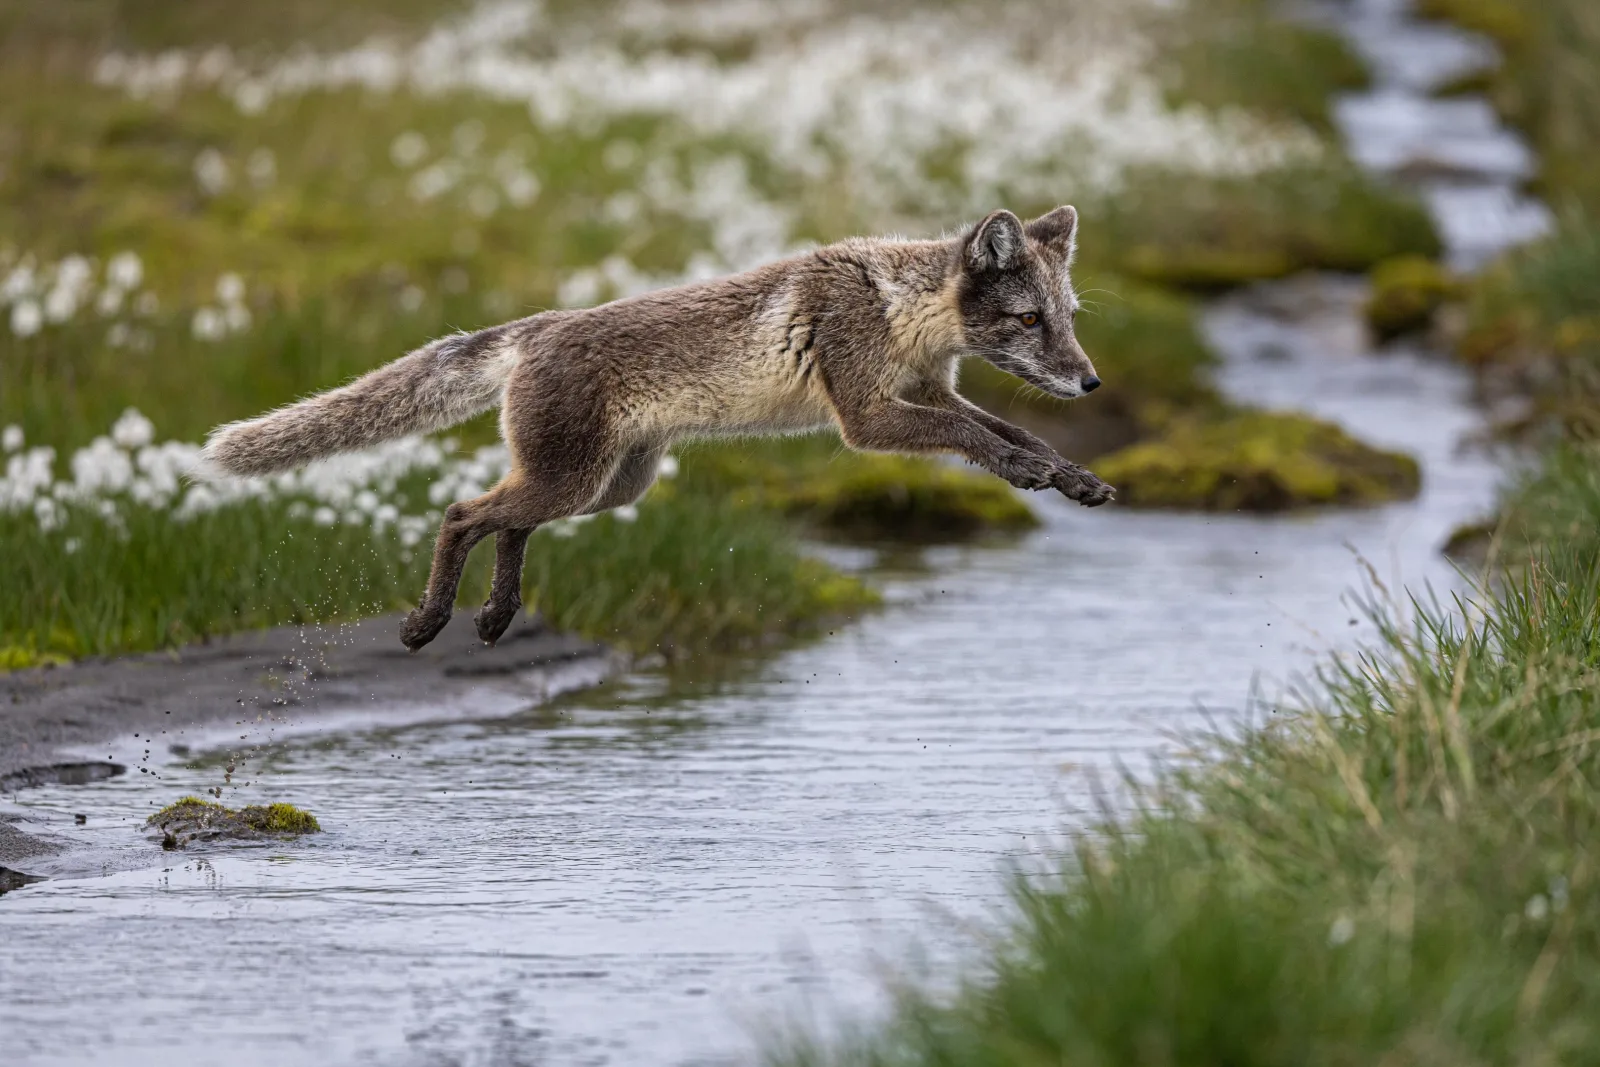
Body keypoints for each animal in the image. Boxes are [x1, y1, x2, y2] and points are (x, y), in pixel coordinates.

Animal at [203, 205, 1115, 652]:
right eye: (1029, 320)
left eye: (1067, 317)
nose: (1090, 380)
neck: (898, 308)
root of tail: (536, 328)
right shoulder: (866, 419)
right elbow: (986, 445)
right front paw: (1032, 476)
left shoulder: (929, 393)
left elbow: (1018, 436)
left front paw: (1075, 479)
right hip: (575, 479)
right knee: (463, 513)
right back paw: (431, 623)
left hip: (606, 488)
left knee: (507, 521)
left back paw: (496, 615)